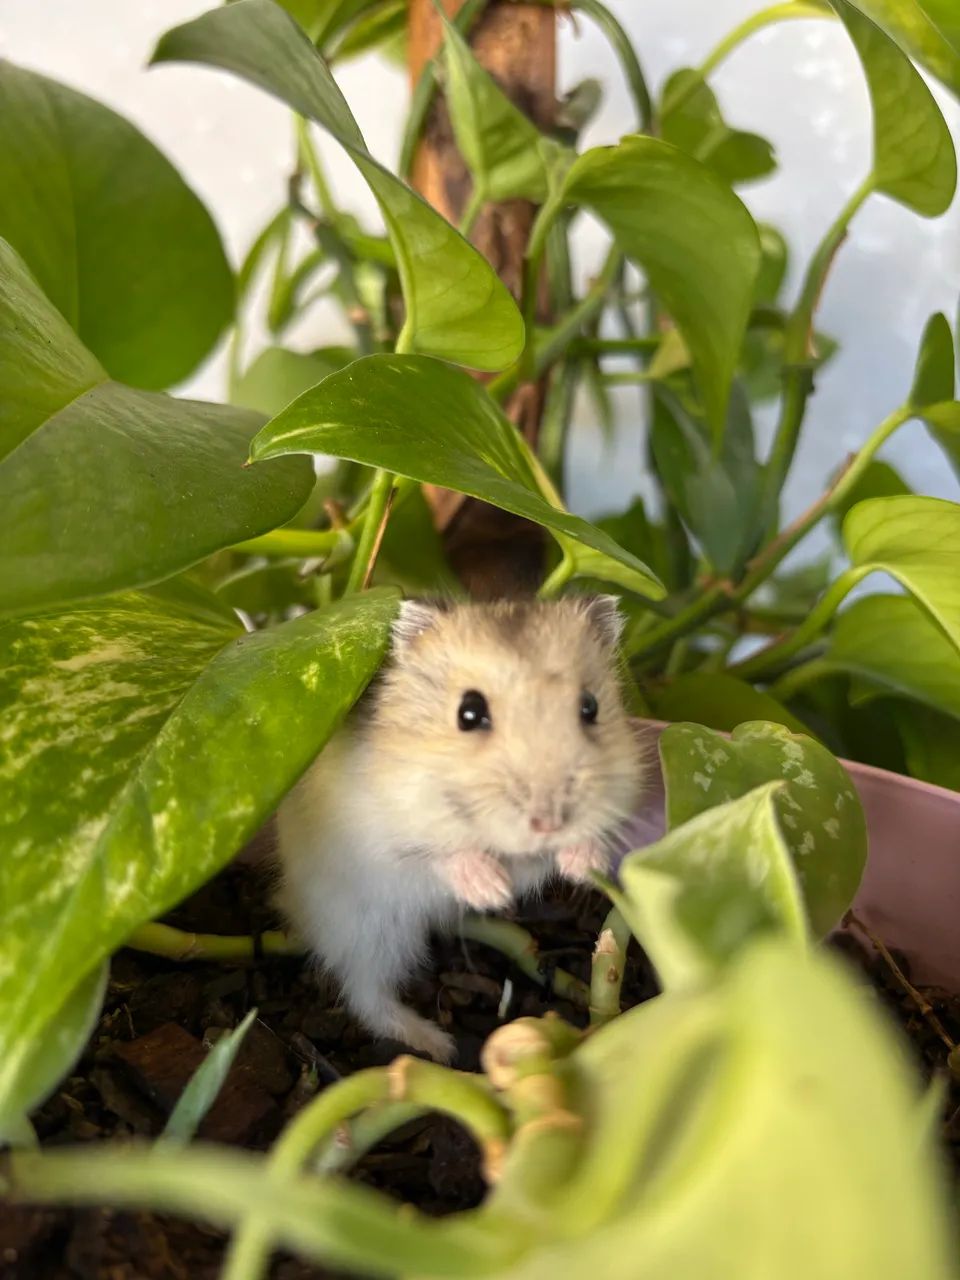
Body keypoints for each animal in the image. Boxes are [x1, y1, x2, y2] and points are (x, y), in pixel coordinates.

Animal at [275, 595, 644, 1063]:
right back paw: (437, 1044)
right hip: (366, 927)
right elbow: (437, 853)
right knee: (365, 992)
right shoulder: (383, 837)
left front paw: (581, 864)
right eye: (469, 713)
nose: (548, 822)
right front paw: (492, 889)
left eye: (590, 707)